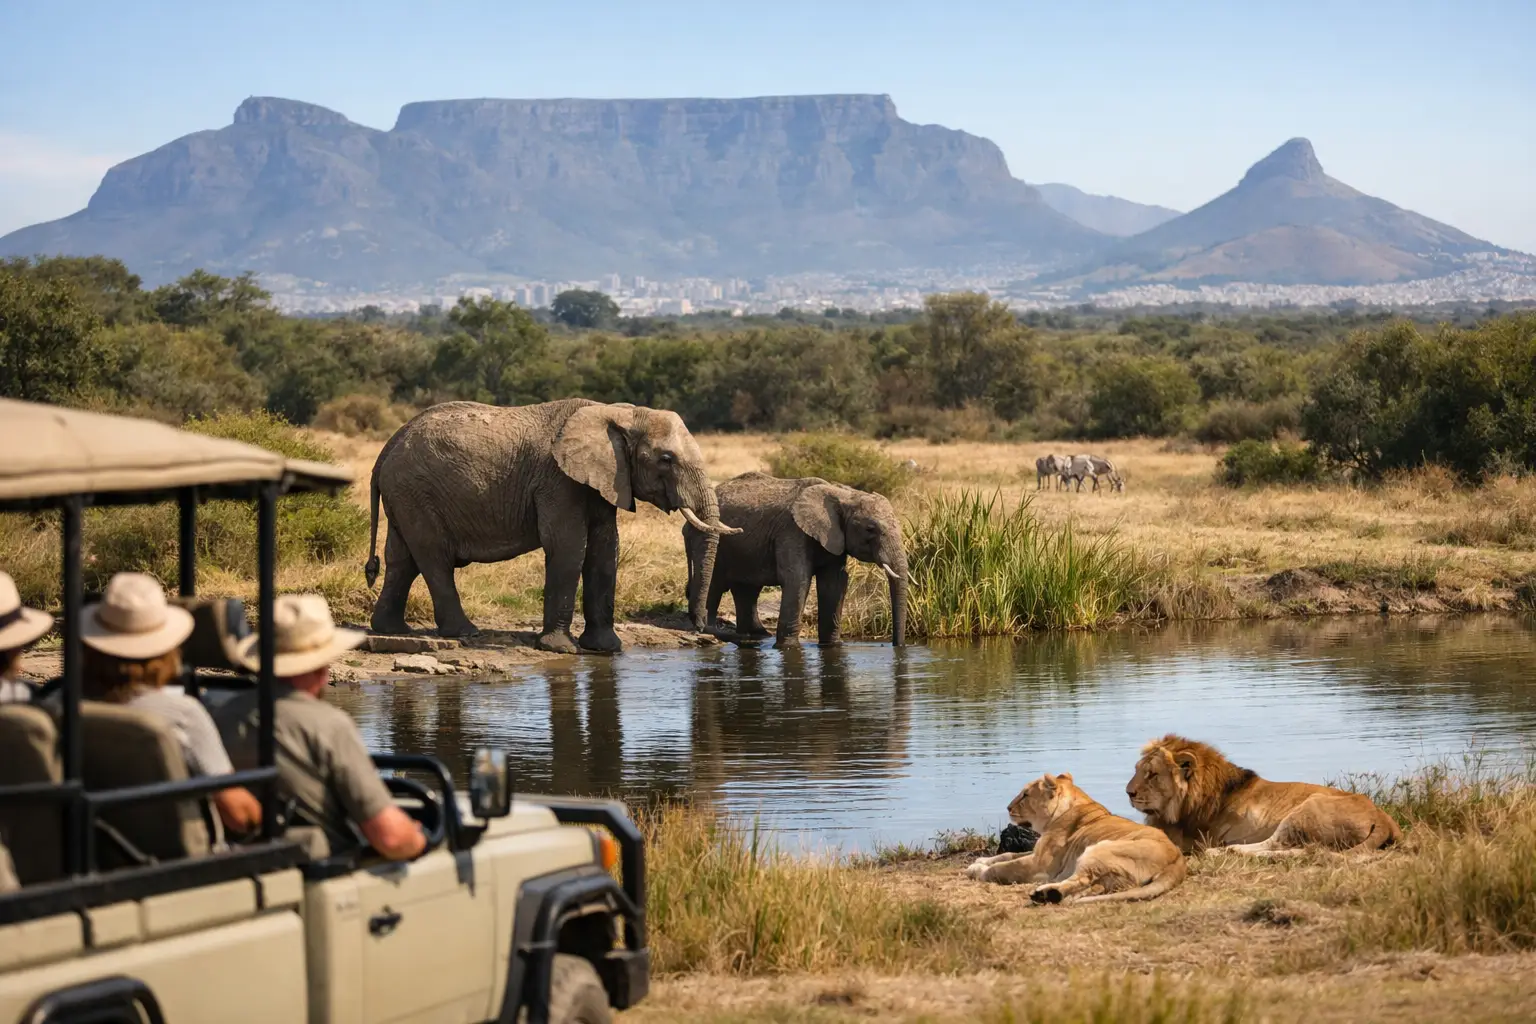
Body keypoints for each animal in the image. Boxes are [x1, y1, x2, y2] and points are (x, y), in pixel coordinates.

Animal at [364, 398, 739, 653]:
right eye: (666, 459)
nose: (701, 629)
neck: (619, 414)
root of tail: (387, 447)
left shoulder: (603, 481)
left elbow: (605, 549)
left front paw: (606, 649)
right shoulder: (558, 481)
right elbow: (569, 546)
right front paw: (560, 648)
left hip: (406, 495)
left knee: (403, 560)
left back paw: (392, 630)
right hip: (416, 491)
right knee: (434, 558)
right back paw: (465, 633)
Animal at [682, 472, 907, 647]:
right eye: (871, 529)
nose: (897, 645)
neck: (842, 494)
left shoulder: (835, 539)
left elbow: (834, 584)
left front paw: (832, 645)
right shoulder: (791, 532)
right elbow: (797, 579)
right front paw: (787, 647)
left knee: (747, 589)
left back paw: (757, 634)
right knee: (715, 584)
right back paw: (710, 630)